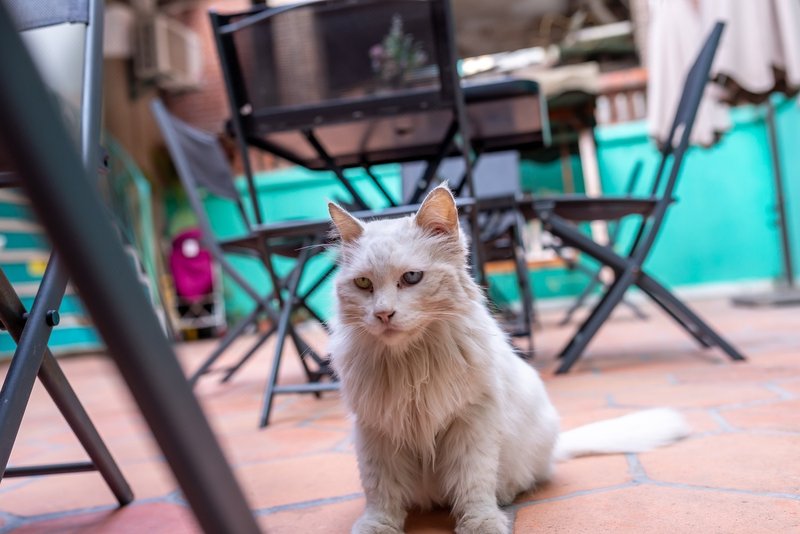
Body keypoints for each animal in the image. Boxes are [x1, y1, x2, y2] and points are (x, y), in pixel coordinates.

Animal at [327, 185, 689, 534]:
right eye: (363, 283)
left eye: (411, 278)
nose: (383, 314)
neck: (412, 363)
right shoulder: (376, 432)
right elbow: (382, 492)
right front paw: (377, 526)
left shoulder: (472, 421)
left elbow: (473, 483)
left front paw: (481, 523)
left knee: (525, 478)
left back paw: (503, 496)